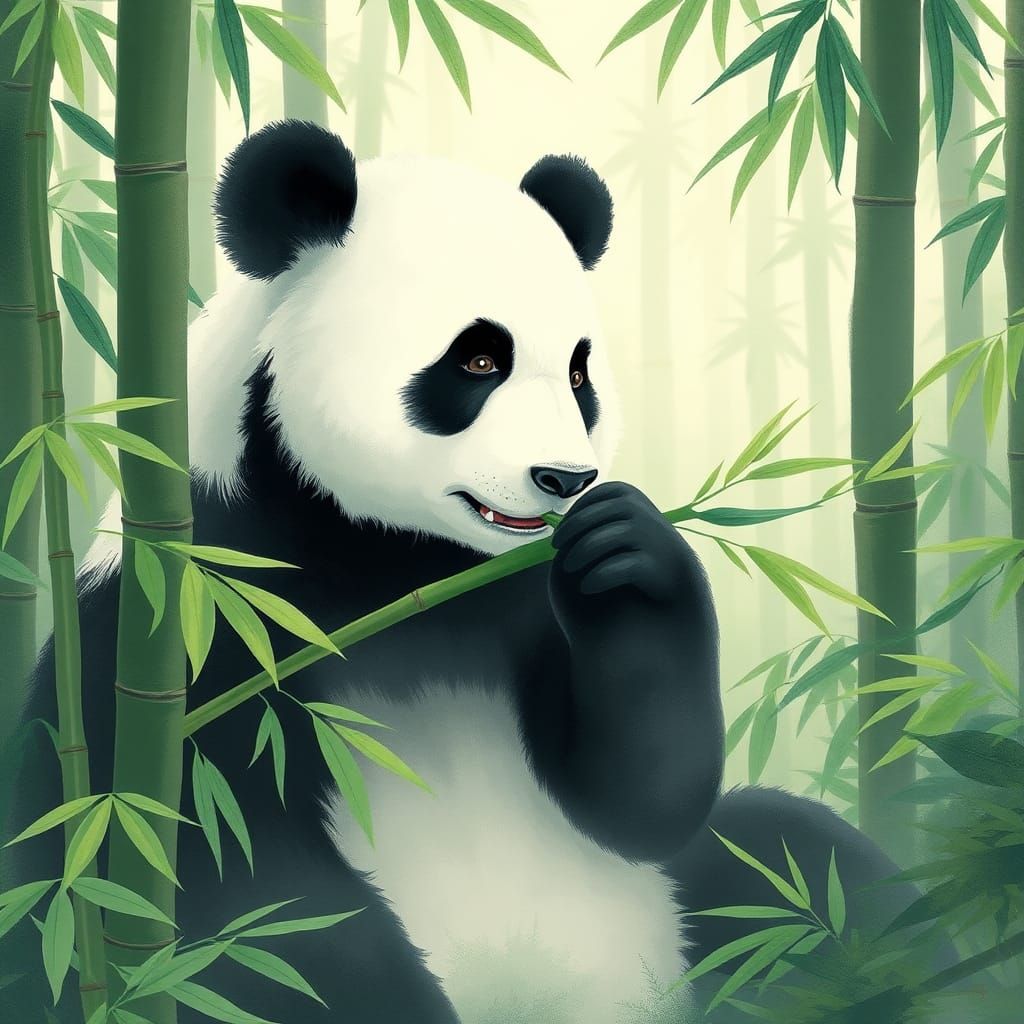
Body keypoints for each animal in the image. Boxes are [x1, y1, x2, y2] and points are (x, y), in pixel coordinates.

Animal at [5, 121, 907, 1023]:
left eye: (579, 374)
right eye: (477, 362)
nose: (565, 479)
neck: (388, 560)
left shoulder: (516, 597)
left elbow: (639, 798)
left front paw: (626, 554)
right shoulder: (186, 619)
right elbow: (227, 891)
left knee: (806, 867)